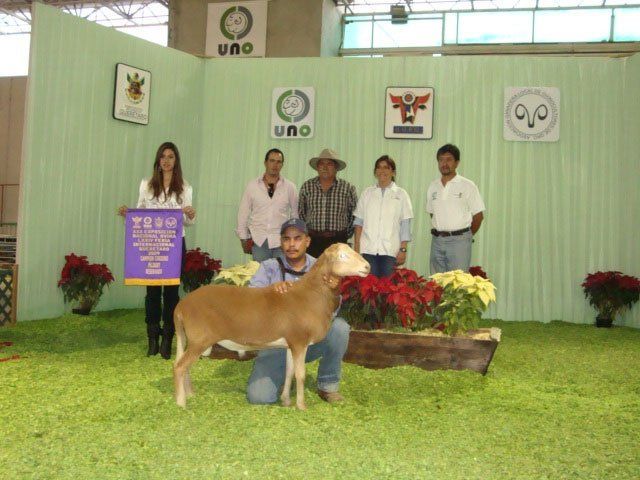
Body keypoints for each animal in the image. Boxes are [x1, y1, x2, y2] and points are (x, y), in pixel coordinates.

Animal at [173, 243, 370, 410]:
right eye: (343, 255)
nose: (367, 267)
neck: (311, 294)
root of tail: (181, 307)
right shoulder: (300, 341)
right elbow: (300, 374)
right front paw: (301, 406)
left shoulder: (291, 343)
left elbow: (289, 372)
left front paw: (286, 401)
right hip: (200, 339)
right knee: (180, 366)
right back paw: (181, 403)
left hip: (192, 340)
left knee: (183, 365)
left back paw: (190, 394)